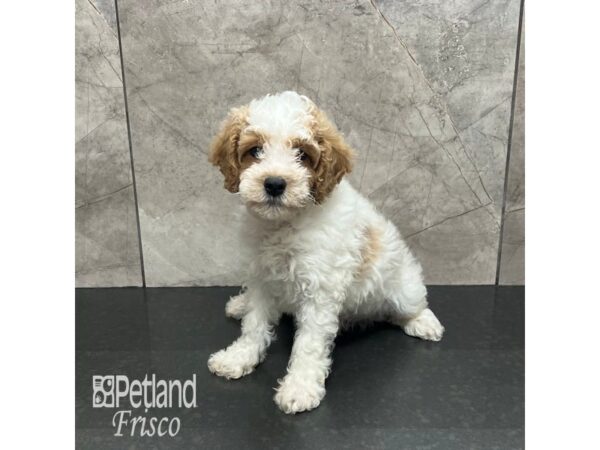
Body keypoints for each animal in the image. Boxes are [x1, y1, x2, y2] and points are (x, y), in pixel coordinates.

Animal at [209, 90, 442, 414]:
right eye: (255, 150)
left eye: (302, 155)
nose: (274, 184)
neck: (285, 224)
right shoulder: (261, 278)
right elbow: (254, 325)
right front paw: (239, 357)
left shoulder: (319, 291)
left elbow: (308, 344)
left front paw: (300, 387)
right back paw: (239, 305)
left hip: (402, 288)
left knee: (412, 305)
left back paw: (423, 322)